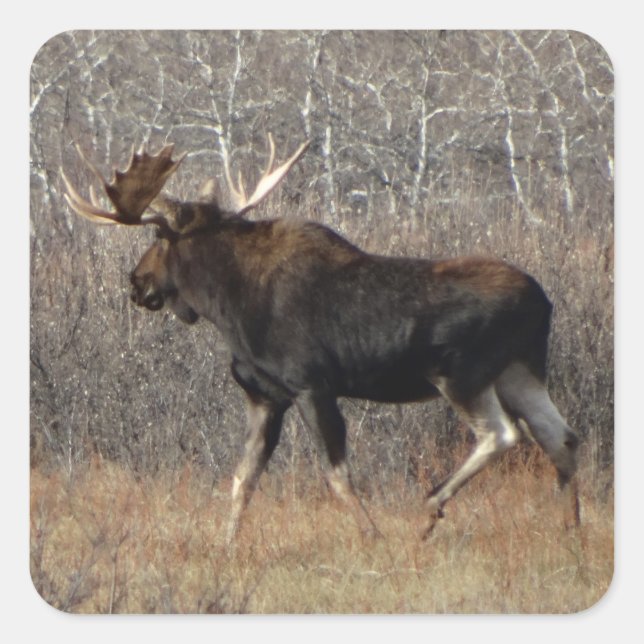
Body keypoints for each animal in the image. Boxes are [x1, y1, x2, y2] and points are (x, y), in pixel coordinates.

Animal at [61, 134, 580, 543]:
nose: (136, 283)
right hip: (520, 370)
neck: (226, 303)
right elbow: (242, 479)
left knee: (503, 434)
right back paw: (570, 528)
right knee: (561, 436)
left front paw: (373, 535)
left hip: (462, 373)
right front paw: (226, 544)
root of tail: (543, 301)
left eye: (160, 240)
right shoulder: (265, 396)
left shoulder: (312, 385)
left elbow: (337, 476)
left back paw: (430, 508)